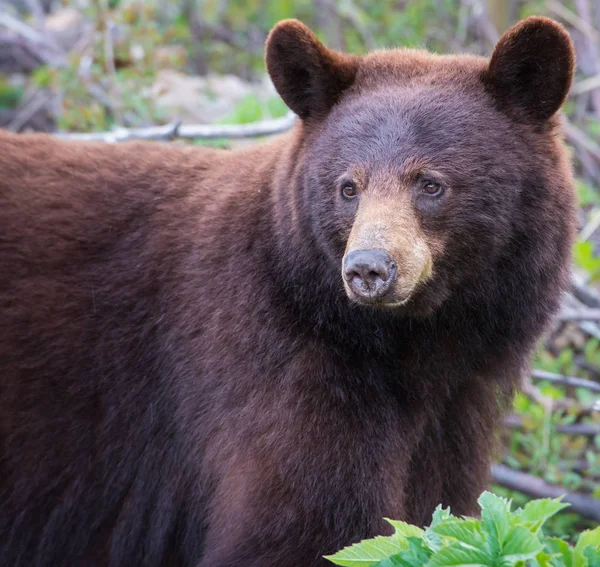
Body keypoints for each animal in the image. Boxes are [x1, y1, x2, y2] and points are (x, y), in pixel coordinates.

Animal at [0, 13, 580, 567]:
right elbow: (303, 525)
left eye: (430, 184)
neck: (408, 347)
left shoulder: (455, 410)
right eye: (348, 187)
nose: (368, 268)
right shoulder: (271, 365)